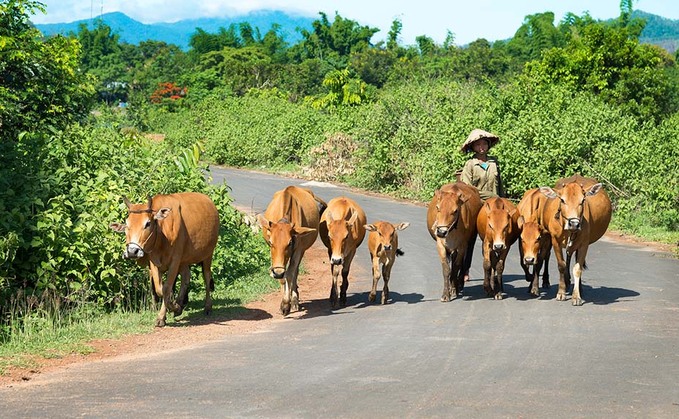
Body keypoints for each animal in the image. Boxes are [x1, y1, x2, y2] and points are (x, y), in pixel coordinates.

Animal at [110, 194, 219, 328]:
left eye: (148, 223)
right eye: (126, 224)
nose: (132, 251)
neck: (162, 236)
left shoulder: (175, 261)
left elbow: (166, 288)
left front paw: (162, 317)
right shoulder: (154, 262)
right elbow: (159, 289)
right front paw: (175, 307)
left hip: (208, 254)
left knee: (207, 277)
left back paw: (208, 306)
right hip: (184, 261)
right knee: (186, 277)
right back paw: (179, 303)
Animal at [258, 185, 326, 316]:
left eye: (289, 243)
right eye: (271, 242)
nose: (278, 272)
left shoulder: (298, 249)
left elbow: (290, 273)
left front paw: (286, 304)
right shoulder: (275, 259)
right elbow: (282, 278)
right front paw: (283, 301)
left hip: (302, 250)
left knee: (295, 271)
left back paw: (294, 299)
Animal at [540, 177, 616, 306]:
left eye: (583, 200)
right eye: (562, 200)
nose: (574, 223)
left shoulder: (584, 244)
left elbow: (577, 268)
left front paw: (576, 296)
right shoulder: (555, 241)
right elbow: (561, 265)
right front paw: (561, 292)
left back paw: (578, 287)